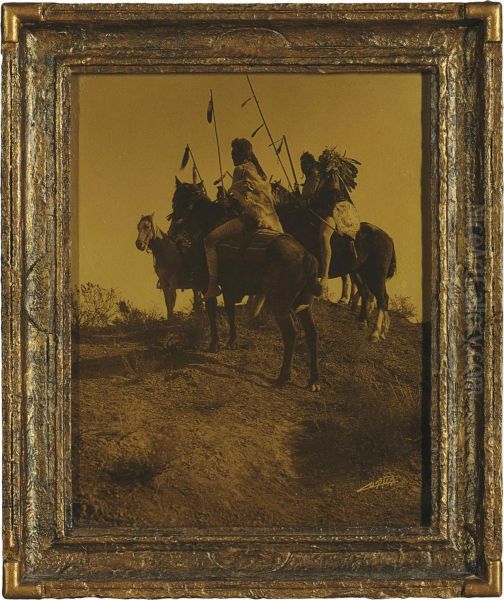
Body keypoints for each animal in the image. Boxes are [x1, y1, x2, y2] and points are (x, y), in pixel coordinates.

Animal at [167, 178, 320, 392]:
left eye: (176, 200)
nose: (172, 232)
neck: (208, 223)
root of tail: (307, 256)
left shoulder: (208, 286)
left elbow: (212, 313)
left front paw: (214, 344)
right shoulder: (229, 289)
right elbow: (231, 313)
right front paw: (232, 342)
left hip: (280, 304)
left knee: (291, 334)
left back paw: (283, 377)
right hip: (302, 305)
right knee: (312, 334)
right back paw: (313, 380)